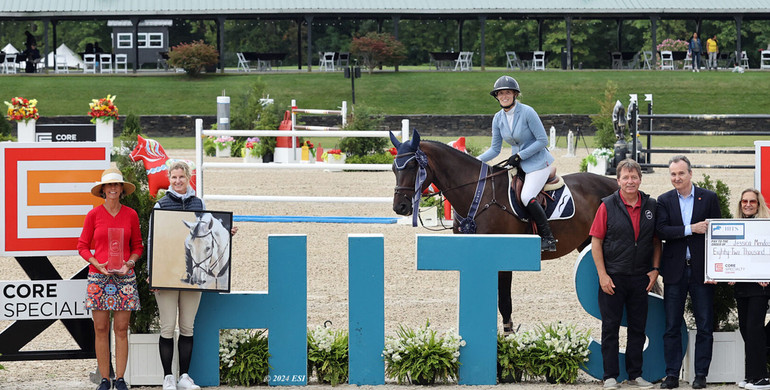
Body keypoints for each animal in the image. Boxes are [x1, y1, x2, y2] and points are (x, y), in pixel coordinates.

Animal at [390, 130, 616, 326]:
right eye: (393, 168)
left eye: (413, 166)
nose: (399, 207)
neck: (478, 194)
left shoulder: (503, 259)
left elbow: (505, 303)